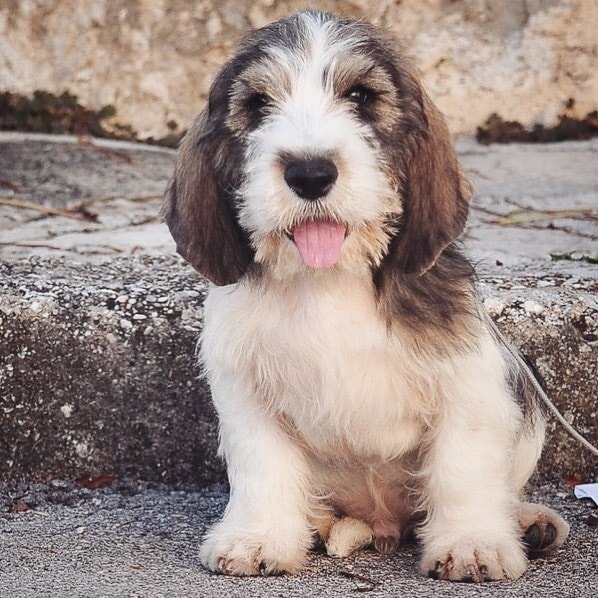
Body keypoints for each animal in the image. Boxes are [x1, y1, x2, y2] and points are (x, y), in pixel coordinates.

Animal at [165, 8, 572, 580]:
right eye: (259, 105)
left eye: (359, 96)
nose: (310, 172)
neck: (332, 279)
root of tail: (380, 523)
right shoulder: (246, 391)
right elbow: (263, 465)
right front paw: (259, 537)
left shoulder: (470, 380)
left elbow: (462, 468)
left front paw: (471, 542)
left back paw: (530, 523)